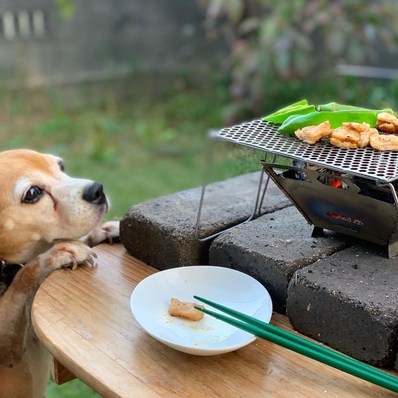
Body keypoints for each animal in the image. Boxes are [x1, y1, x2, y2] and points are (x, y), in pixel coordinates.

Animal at [0, 150, 119, 398]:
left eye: (61, 166)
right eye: (32, 193)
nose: (97, 189)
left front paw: (101, 233)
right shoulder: (6, 347)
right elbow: (25, 274)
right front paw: (56, 253)